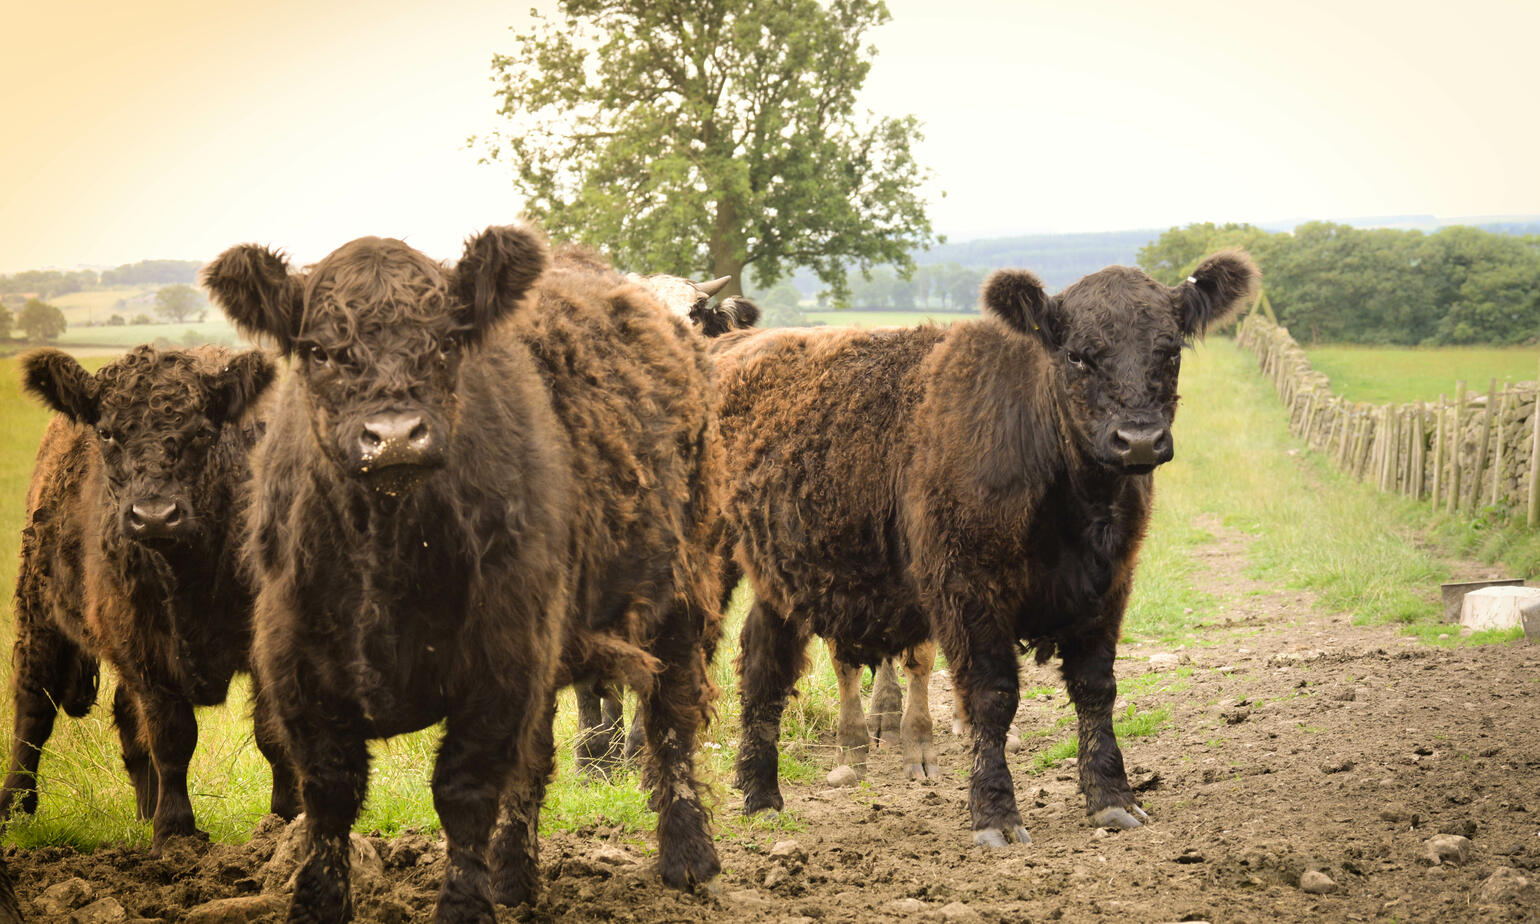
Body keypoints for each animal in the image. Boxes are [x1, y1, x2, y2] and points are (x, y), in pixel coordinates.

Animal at [0, 345, 293, 853]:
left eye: (202, 432)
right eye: (107, 432)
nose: (154, 515)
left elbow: (272, 733)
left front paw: (285, 823)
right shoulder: (144, 645)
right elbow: (172, 737)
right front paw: (175, 832)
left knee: (122, 712)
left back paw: (143, 811)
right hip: (38, 612)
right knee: (33, 707)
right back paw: (15, 808)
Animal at [203, 225, 723, 923]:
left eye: (448, 343)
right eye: (317, 350)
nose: (395, 436)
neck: (390, 552)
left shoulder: (499, 664)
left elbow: (464, 791)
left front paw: (465, 906)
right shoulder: (299, 669)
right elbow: (330, 797)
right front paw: (317, 903)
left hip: (679, 595)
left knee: (671, 720)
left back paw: (689, 857)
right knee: (537, 759)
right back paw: (514, 875)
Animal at [715, 252, 1259, 846]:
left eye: (1171, 350)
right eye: (1076, 355)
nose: (1138, 440)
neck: (1074, 504)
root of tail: (732, 340)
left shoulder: (1110, 584)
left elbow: (1097, 688)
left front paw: (1112, 798)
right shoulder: (966, 587)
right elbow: (992, 697)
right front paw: (996, 814)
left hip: (780, 576)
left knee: (763, 664)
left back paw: (762, 797)